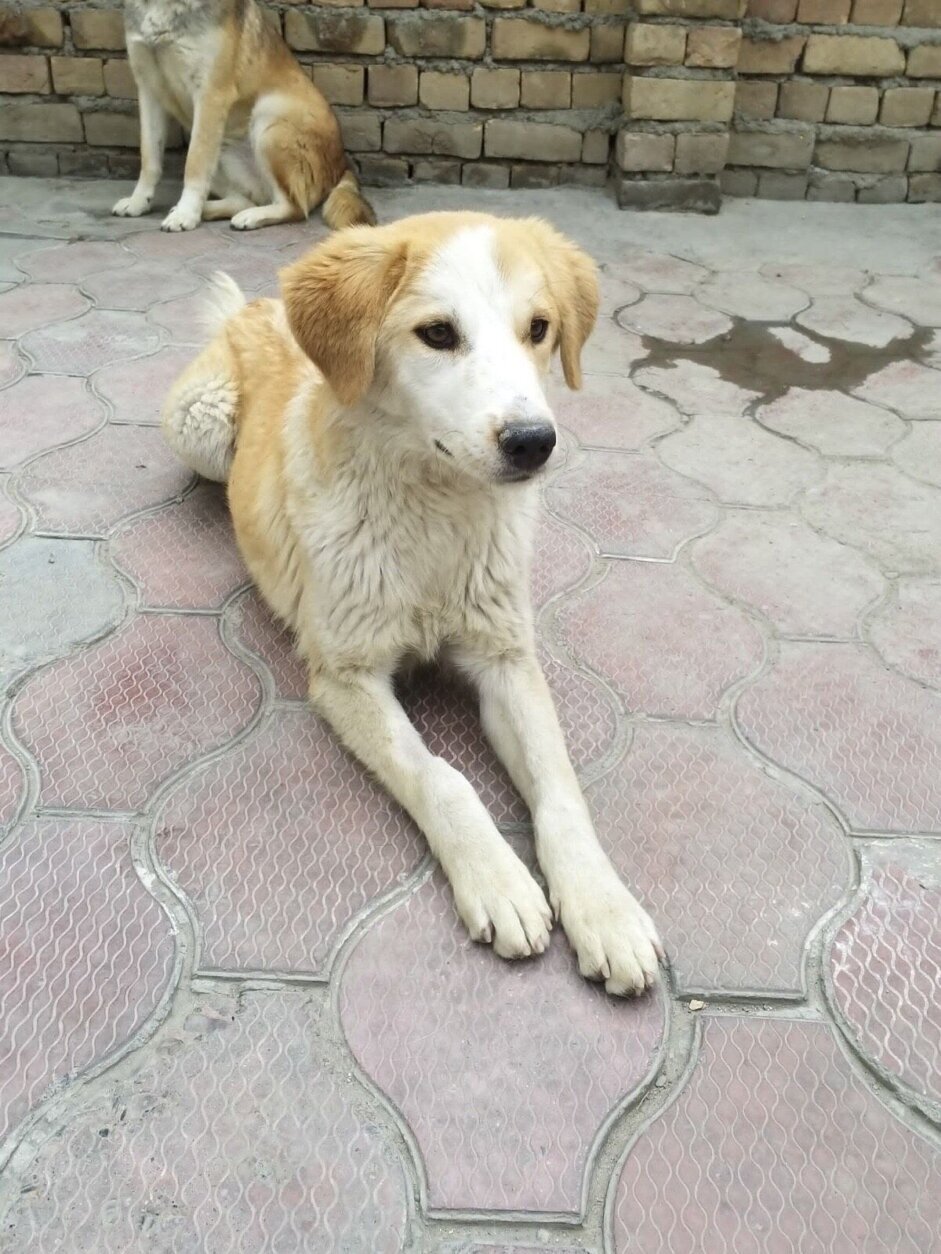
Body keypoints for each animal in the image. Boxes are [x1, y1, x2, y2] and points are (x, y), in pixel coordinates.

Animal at [112, 0, 373, 233]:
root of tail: (342, 164)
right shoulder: (148, 90)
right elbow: (149, 157)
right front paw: (139, 201)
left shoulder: (211, 94)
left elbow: (194, 163)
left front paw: (186, 213)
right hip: (224, 149)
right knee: (246, 199)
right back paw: (208, 209)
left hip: (269, 121)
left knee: (296, 208)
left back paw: (246, 216)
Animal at [164, 215, 662, 998]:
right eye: (437, 334)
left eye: (540, 329)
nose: (533, 442)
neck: (435, 517)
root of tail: (258, 308)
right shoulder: (344, 677)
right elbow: (441, 777)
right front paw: (499, 880)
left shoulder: (505, 657)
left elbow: (560, 789)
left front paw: (602, 906)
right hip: (200, 424)